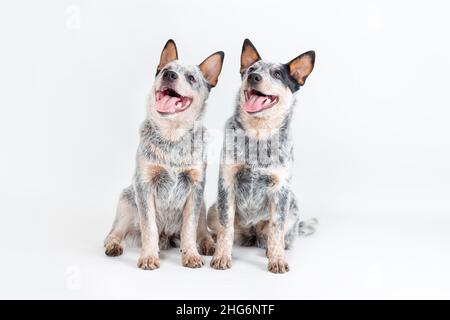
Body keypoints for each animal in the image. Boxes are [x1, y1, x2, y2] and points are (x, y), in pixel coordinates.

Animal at [105, 40, 225, 270]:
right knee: (114, 232)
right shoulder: (144, 184)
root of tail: (168, 237)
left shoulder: (195, 186)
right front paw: (148, 257)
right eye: (164, 70)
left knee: (202, 231)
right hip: (127, 201)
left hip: (203, 205)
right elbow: (149, 227)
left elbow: (189, 228)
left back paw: (208, 244)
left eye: (191, 77)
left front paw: (191, 255)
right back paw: (114, 245)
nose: (169, 74)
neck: (172, 138)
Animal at [208, 37, 316, 272]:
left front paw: (276, 260)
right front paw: (222, 255)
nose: (253, 77)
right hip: (212, 209)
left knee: (279, 236)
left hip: (292, 208)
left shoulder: (280, 190)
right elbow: (226, 227)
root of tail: (253, 233)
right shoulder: (227, 183)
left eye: (277, 74)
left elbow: (276, 230)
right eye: (251, 69)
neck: (258, 135)